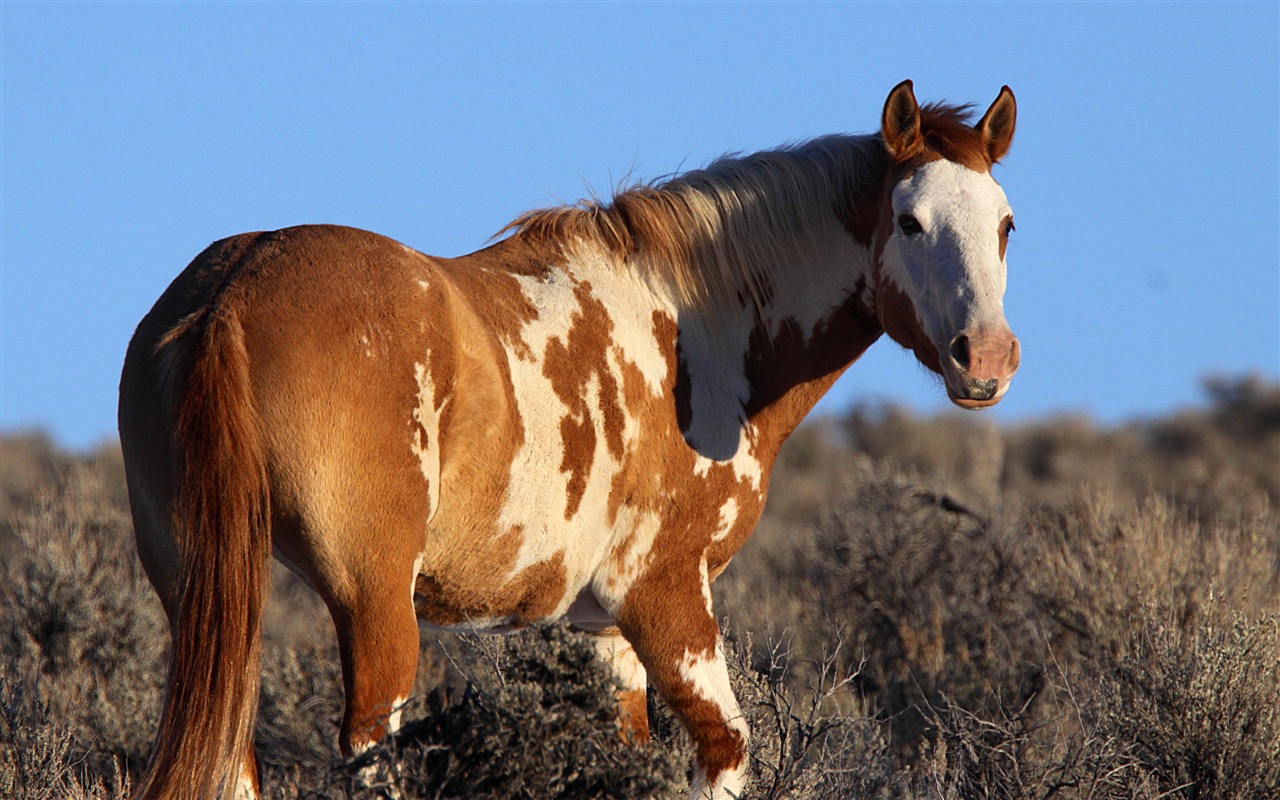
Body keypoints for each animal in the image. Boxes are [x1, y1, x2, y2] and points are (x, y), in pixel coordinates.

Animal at [120, 79, 1018, 798]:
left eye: (1007, 223)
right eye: (908, 220)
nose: (986, 358)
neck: (696, 330)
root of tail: (233, 293)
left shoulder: (604, 631)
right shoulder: (665, 595)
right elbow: (725, 752)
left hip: (205, 590)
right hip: (372, 600)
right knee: (371, 749)